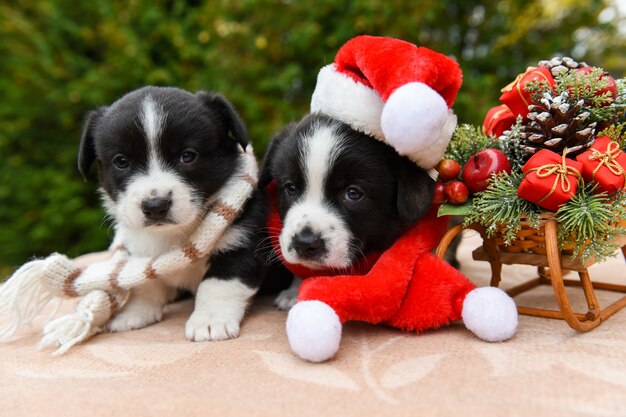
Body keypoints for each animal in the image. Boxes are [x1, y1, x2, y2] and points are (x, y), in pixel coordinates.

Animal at [78, 86, 264, 340]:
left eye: (188, 156)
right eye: (121, 161)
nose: (155, 206)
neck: (174, 234)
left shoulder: (243, 242)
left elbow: (219, 282)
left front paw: (209, 321)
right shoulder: (142, 252)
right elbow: (145, 281)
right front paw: (135, 312)